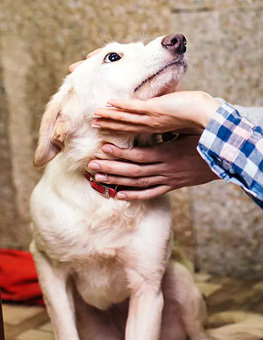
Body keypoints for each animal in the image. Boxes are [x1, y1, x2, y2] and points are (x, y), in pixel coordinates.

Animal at [30, 34, 262, 340]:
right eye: (112, 57)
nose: (178, 39)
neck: (107, 197)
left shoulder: (147, 287)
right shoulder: (48, 267)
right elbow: (64, 328)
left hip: (179, 281)